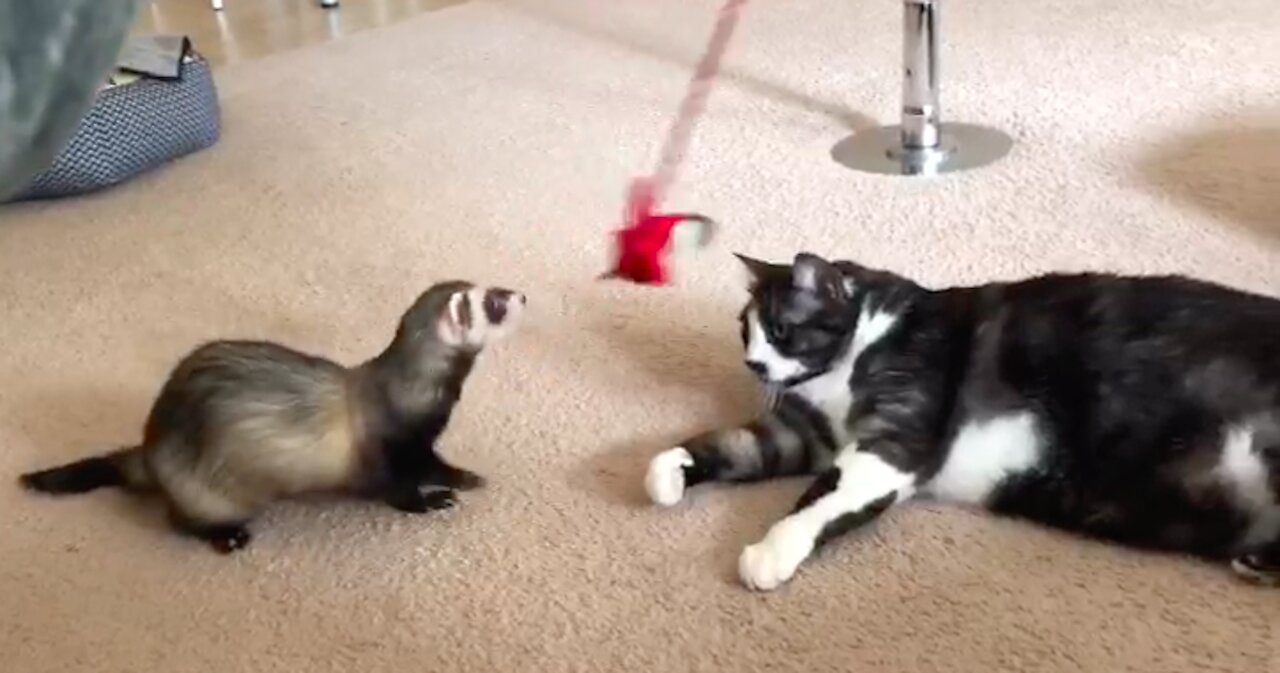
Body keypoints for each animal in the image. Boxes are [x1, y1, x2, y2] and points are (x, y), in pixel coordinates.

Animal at [645, 252, 1280, 591]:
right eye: (744, 329)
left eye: (780, 329)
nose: (753, 363)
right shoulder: (805, 436)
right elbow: (738, 443)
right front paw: (669, 469)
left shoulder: (891, 440)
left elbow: (821, 497)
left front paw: (769, 552)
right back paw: (1259, 562)